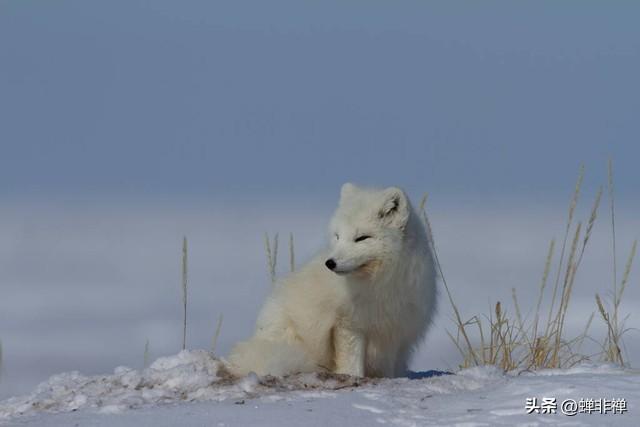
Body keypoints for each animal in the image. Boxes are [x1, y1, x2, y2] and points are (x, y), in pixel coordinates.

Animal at [228, 184, 438, 378]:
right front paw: (353, 377)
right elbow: (351, 364)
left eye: (362, 238)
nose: (330, 263)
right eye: (338, 236)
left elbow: (386, 369)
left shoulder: (394, 330)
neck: (379, 282)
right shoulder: (347, 324)